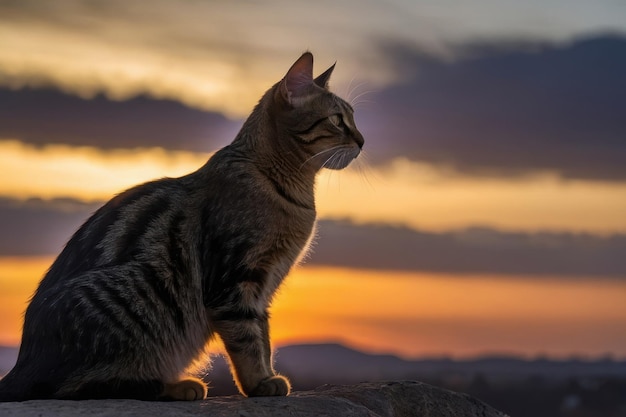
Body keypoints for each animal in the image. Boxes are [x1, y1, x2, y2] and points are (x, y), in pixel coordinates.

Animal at [0, 51, 364, 400]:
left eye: (353, 118)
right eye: (337, 120)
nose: (362, 140)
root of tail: (22, 366)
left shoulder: (262, 289)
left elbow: (262, 336)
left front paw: (264, 376)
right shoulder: (236, 280)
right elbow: (247, 340)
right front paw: (259, 382)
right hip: (137, 293)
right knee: (79, 386)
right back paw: (175, 386)